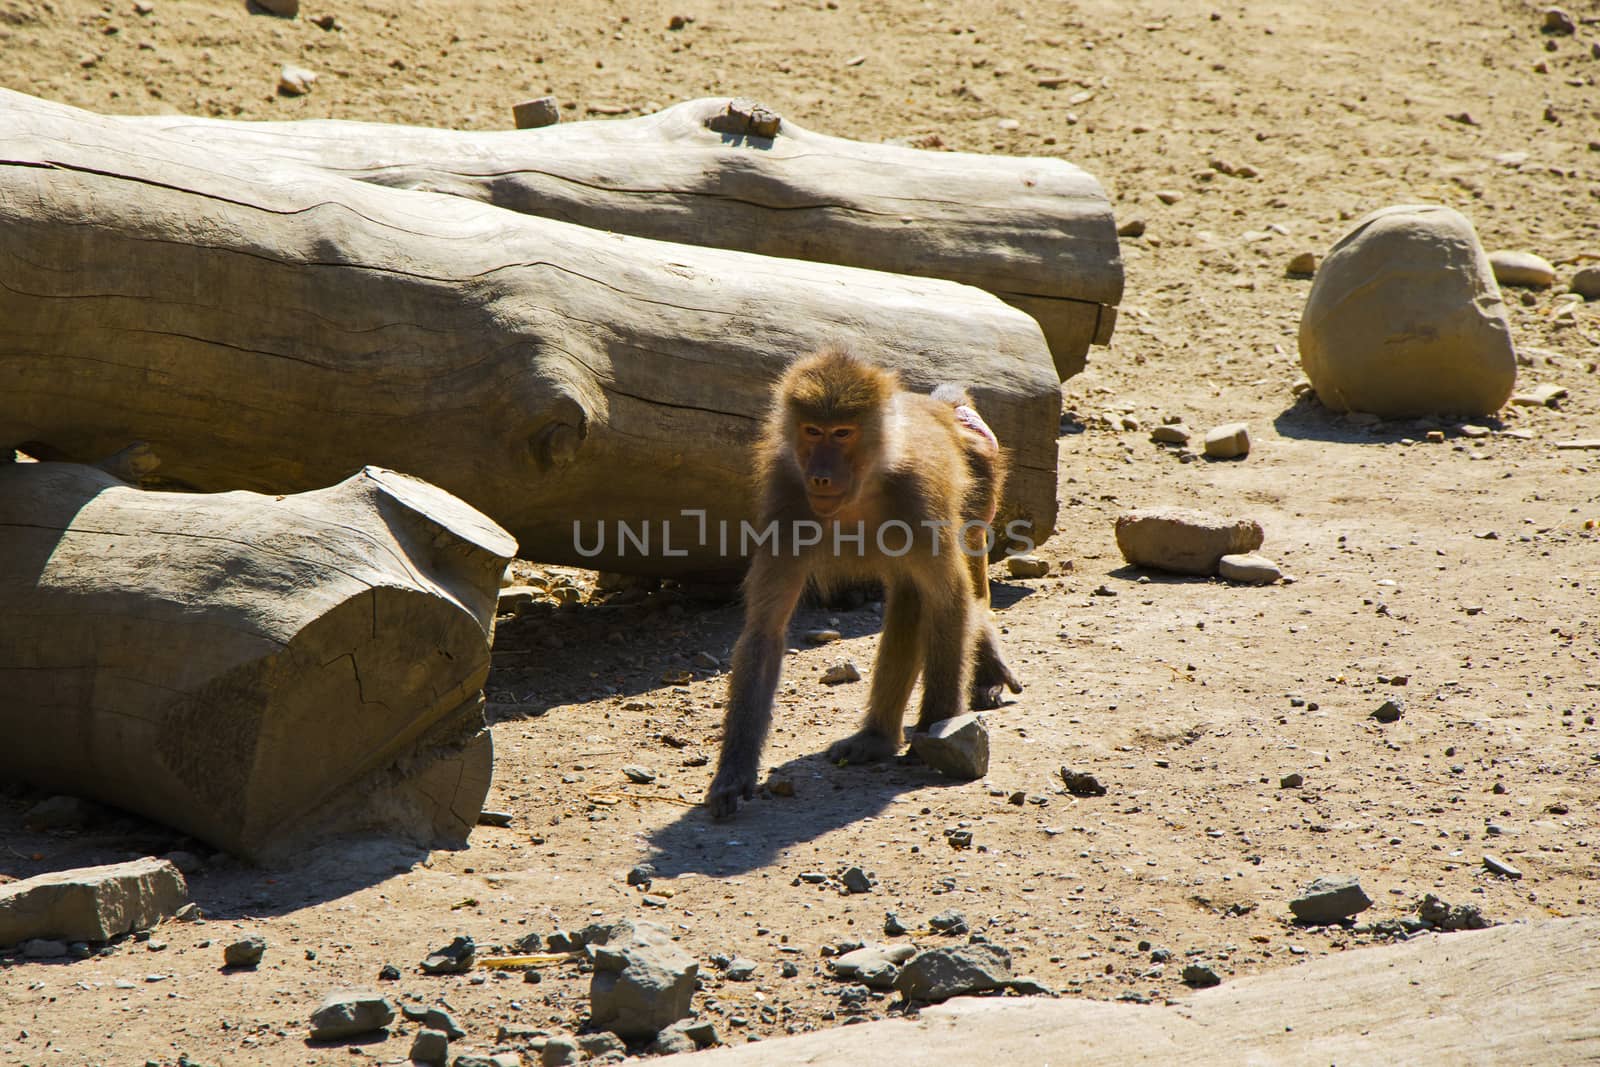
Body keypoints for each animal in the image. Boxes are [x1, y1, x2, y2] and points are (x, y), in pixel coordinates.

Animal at [710, 343, 1024, 819]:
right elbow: (766, 630)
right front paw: (733, 774)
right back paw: (876, 740)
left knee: (945, 592)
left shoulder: (918, 499)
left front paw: (936, 728)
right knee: (910, 599)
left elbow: (950, 600)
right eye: (812, 431)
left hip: (982, 478)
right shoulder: (788, 497)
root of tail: (944, 406)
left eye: (842, 433)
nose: (820, 475)